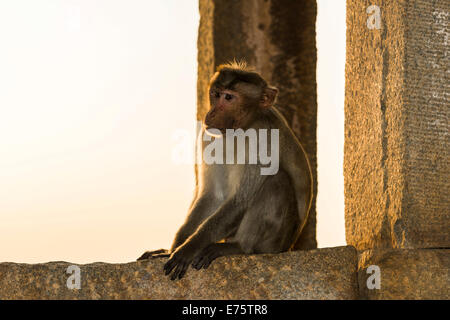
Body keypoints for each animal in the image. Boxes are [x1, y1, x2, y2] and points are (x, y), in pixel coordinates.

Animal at [138, 60, 312, 280]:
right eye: (216, 94)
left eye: (229, 98)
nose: (212, 113)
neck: (240, 129)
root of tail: (290, 246)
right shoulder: (207, 136)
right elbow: (212, 195)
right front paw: (174, 247)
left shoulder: (263, 138)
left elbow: (240, 200)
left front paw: (189, 248)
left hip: (276, 243)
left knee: (276, 180)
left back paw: (241, 247)